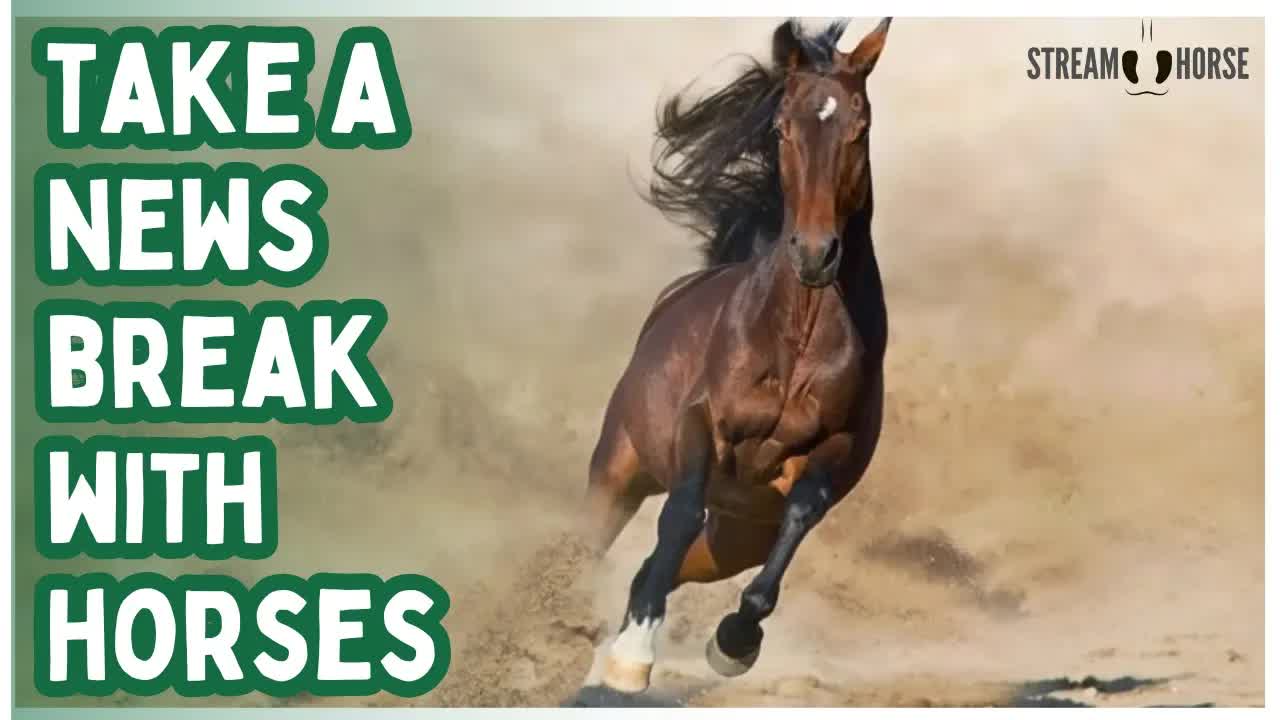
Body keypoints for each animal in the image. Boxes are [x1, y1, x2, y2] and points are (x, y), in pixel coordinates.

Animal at [582, 18, 892, 694]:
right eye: (782, 127)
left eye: (859, 128)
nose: (815, 254)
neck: (797, 335)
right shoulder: (701, 423)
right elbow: (679, 512)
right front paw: (633, 657)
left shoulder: (826, 454)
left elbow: (797, 518)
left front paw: (735, 640)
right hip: (618, 468)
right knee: (602, 540)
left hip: (734, 536)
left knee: (664, 566)